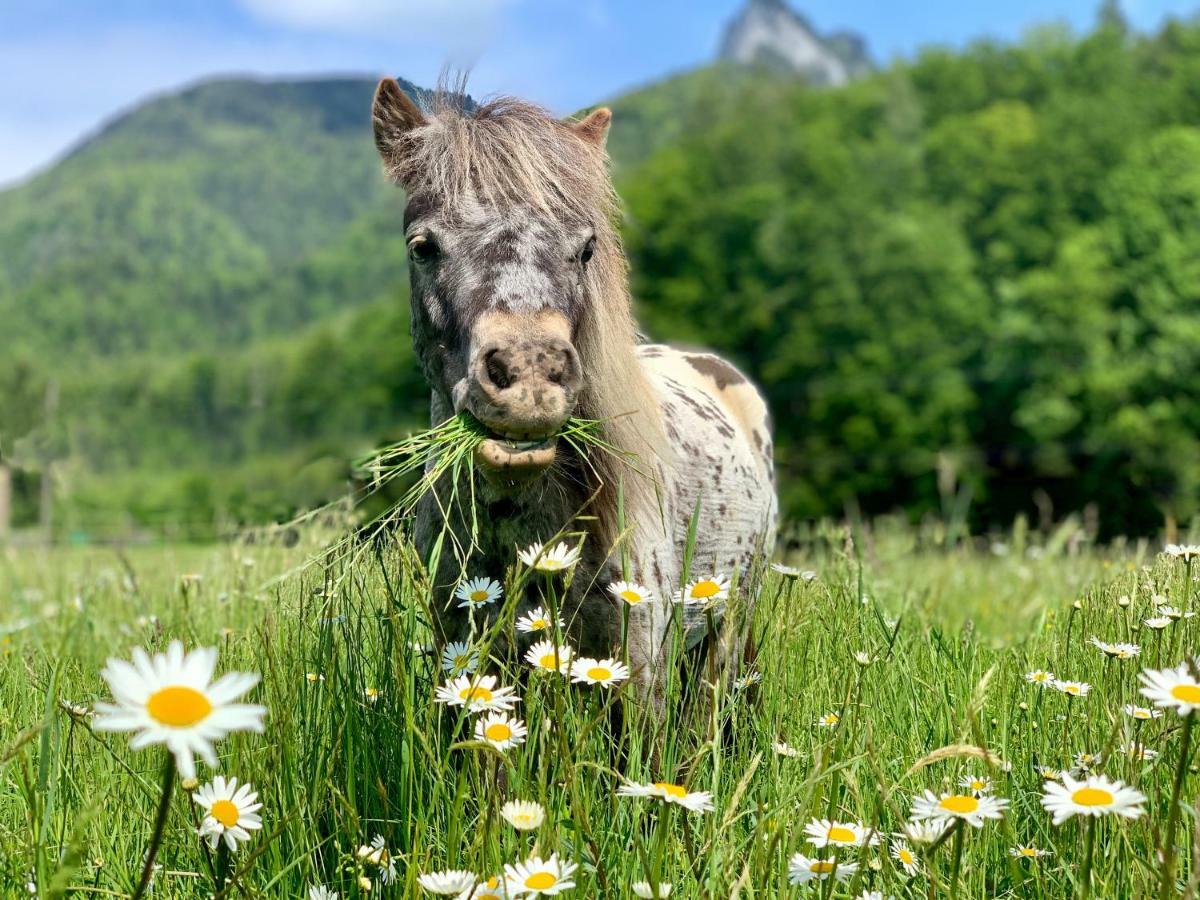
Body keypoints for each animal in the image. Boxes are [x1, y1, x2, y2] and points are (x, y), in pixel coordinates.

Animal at [367, 77, 777, 710]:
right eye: (422, 246)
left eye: (585, 249)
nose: (530, 372)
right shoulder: (465, 654)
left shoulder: (640, 673)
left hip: (727, 631)